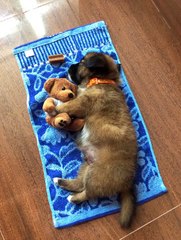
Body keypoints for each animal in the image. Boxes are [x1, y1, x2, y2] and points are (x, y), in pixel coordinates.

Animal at [53, 53, 137, 229]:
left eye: (82, 62)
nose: (69, 67)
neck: (102, 80)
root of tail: (128, 183)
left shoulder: (80, 104)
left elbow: (67, 106)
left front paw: (56, 104)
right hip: (86, 167)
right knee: (79, 184)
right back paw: (60, 181)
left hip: (96, 176)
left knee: (87, 193)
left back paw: (73, 198)